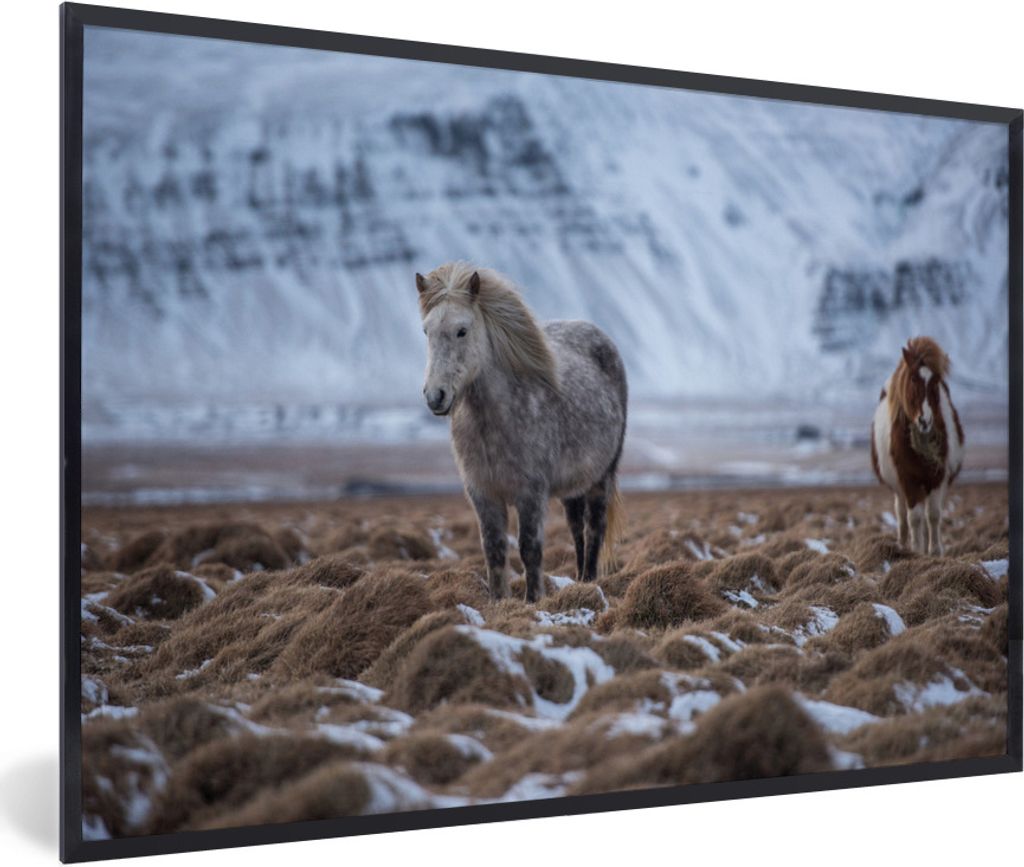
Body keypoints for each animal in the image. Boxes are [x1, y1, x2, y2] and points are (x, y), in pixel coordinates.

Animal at [416, 262, 628, 602]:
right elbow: (494, 550)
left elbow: (530, 549)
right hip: (572, 487)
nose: (435, 396)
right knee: (576, 529)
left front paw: (533, 600)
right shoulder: (483, 494)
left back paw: (590, 580)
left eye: (462, 330)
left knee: (594, 527)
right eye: (427, 331)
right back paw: (580, 580)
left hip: (602, 477)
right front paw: (498, 601)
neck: (493, 423)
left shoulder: (531, 493)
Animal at [870, 336, 964, 555]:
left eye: (936, 382)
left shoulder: (937, 478)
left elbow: (934, 515)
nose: (924, 421)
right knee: (902, 515)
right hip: (899, 488)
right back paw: (903, 544)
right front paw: (916, 551)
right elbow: (914, 518)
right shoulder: (908, 480)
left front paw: (935, 551)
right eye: (913, 379)